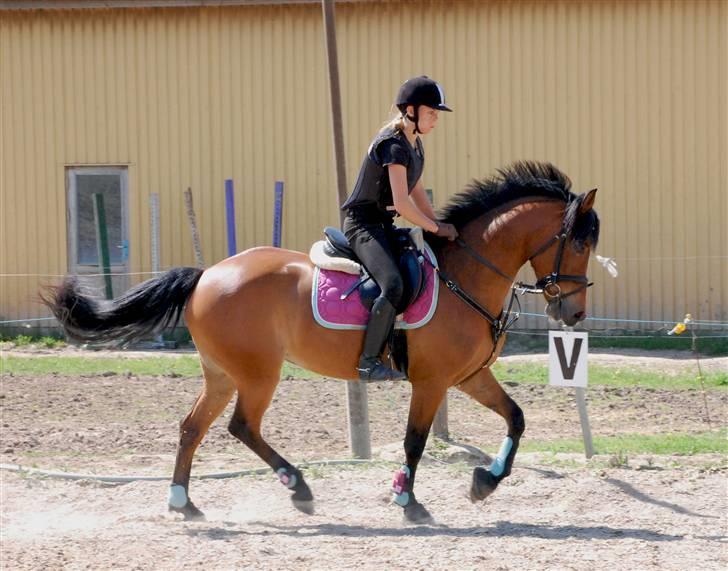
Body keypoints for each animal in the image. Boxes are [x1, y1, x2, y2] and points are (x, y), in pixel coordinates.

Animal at [47, 162, 604, 528]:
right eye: (579, 242)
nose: (573, 314)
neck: (465, 275)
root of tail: (207, 273)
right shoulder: (431, 382)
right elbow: (415, 441)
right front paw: (409, 503)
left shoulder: (469, 376)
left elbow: (516, 418)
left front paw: (484, 482)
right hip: (258, 373)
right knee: (241, 426)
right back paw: (299, 489)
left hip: (223, 374)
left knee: (192, 428)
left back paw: (184, 502)